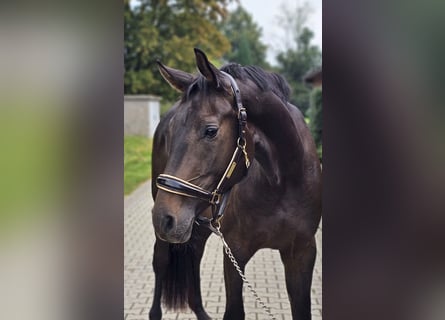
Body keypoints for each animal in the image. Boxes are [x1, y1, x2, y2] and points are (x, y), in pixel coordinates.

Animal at [149, 48, 320, 320]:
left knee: (194, 253)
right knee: (161, 260)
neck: (281, 182)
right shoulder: (235, 253)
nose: (165, 218)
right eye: (172, 131)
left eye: (210, 130)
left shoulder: (302, 253)